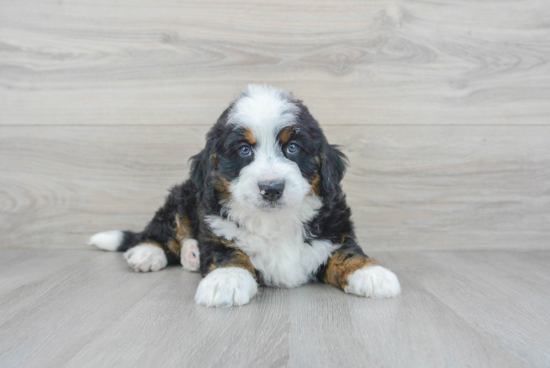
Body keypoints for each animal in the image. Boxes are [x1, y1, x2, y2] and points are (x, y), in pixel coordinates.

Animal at [89, 85, 402, 306]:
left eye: (292, 148)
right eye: (244, 150)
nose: (272, 188)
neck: (274, 220)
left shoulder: (333, 231)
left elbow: (347, 253)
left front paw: (371, 273)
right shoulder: (217, 230)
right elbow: (229, 254)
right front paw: (226, 281)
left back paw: (190, 255)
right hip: (184, 194)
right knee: (163, 229)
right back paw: (147, 252)